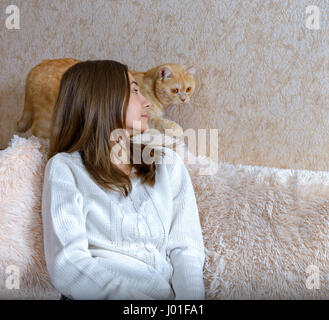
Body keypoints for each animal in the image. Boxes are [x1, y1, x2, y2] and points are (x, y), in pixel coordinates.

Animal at [16, 58, 195, 145]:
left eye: (188, 89)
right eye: (174, 91)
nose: (184, 99)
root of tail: (35, 69)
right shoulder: (144, 116)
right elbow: (162, 123)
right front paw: (176, 129)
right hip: (46, 119)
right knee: (36, 137)